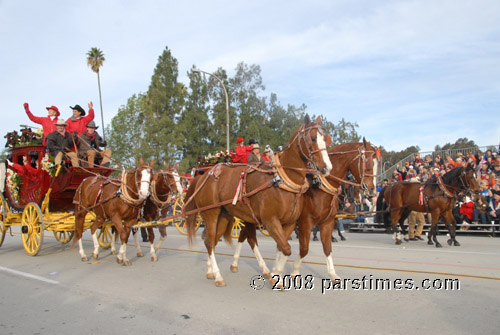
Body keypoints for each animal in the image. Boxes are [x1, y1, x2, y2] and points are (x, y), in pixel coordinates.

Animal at [184, 115, 332, 286]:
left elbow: (283, 248)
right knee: (210, 241)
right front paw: (276, 277)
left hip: (224, 215)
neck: (282, 179)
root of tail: (204, 175)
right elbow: (286, 249)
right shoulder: (270, 220)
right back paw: (218, 276)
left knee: (212, 240)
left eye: (326, 139)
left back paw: (211, 271)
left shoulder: (289, 223)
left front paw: (275, 273)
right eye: (313, 138)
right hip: (211, 214)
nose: (327, 168)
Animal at [229, 139, 376, 280]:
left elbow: (327, 248)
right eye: (367, 162)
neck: (319, 187)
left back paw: (237, 263)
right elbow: (304, 249)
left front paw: (333, 274)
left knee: (245, 236)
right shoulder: (306, 222)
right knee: (249, 238)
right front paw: (294, 271)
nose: (372, 191)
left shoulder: (327, 222)